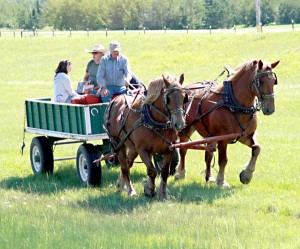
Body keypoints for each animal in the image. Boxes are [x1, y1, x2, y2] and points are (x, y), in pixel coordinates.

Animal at [175, 58, 280, 187]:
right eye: (261, 81)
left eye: (274, 81)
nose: (270, 108)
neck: (234, 104)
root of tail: (186, 88)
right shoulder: (222, 139)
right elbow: (223, 160)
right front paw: (221, 180)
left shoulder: (245, 136)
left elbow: (257, 149)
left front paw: (247, 175)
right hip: (186, 128)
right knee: (183, 149)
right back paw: (180, 173)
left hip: (210, 135)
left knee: (209, 154)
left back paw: (209, 177)